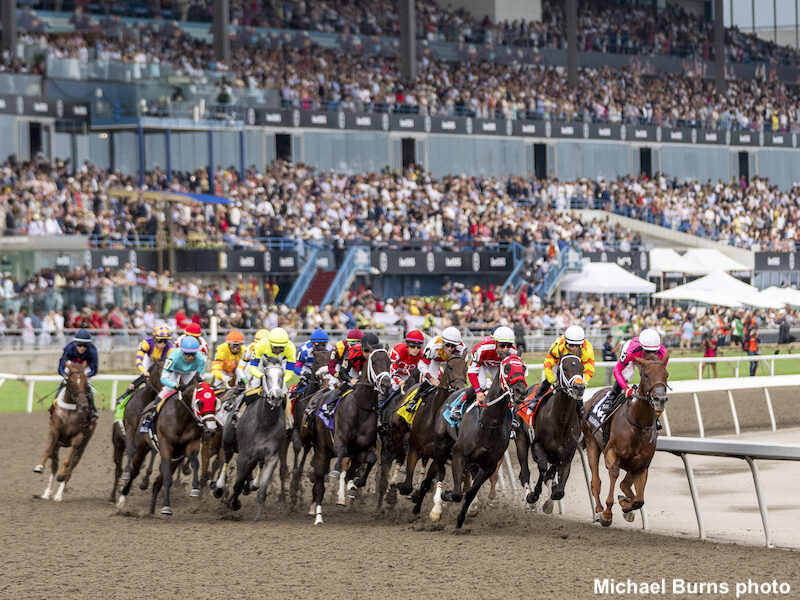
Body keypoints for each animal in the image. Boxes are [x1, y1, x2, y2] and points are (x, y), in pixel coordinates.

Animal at [33, 364, 97, 504]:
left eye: (86, 383)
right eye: (72, 382)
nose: (84, 404)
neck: (70, 410)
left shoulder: (79, 436)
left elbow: (68, 463)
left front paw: (62, 474)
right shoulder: (54, 432)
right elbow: (48, 451)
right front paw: (39, 467)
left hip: (83, 447)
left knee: (71, 468)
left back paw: (58, 495)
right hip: (58, 445)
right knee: (54, 464)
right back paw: (46, 493)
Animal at [225, 356, 288, 520]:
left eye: (283, 375)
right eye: (266, 375)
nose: (275, 397)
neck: (264, 423)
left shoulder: (272, 457)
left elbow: (262, 489)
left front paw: (258, 517)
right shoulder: (244, 454)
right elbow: (238, 483)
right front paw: (234, 503)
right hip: (228, 443)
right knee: (227, 459)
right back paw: (219, 488)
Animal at [580, 354, 668, 528]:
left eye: (666, 375)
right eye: (646, 375)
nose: (659, 399)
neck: (638, 424)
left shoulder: (642, 465)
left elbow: (639, 500)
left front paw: (626, 505)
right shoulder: (611, 454)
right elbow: (614, 474)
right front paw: (607, 514)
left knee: (624, 485)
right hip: (591, 442)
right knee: (595, 481)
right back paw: (599, 510)